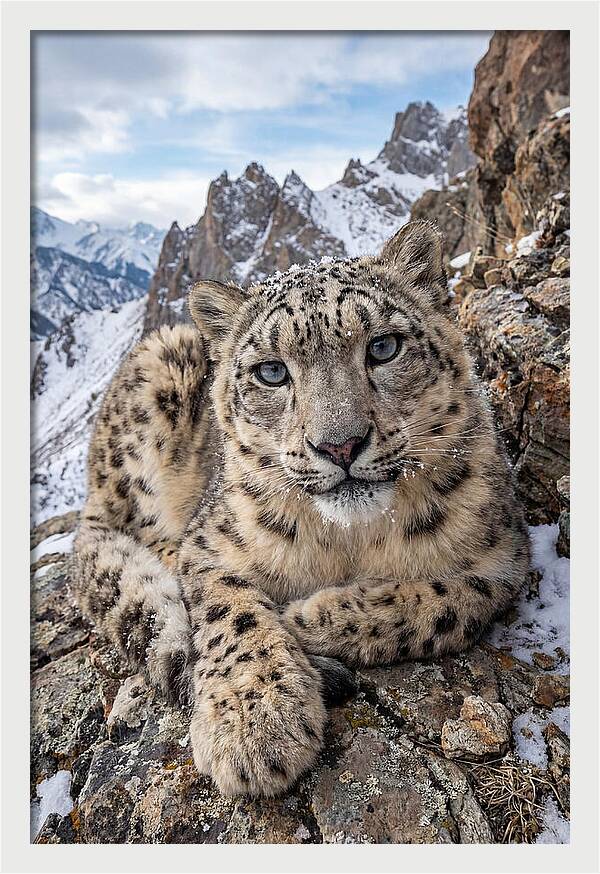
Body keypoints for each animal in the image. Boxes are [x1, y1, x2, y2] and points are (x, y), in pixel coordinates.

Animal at [71, 221, 529, 798]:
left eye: (384, 346)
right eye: (271, 372)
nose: (340, 445)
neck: (350, 541)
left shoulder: (504, 557)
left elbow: (447, 602)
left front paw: (308, 617)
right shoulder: (210, 544)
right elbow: (231, 612)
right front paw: (255, 722)